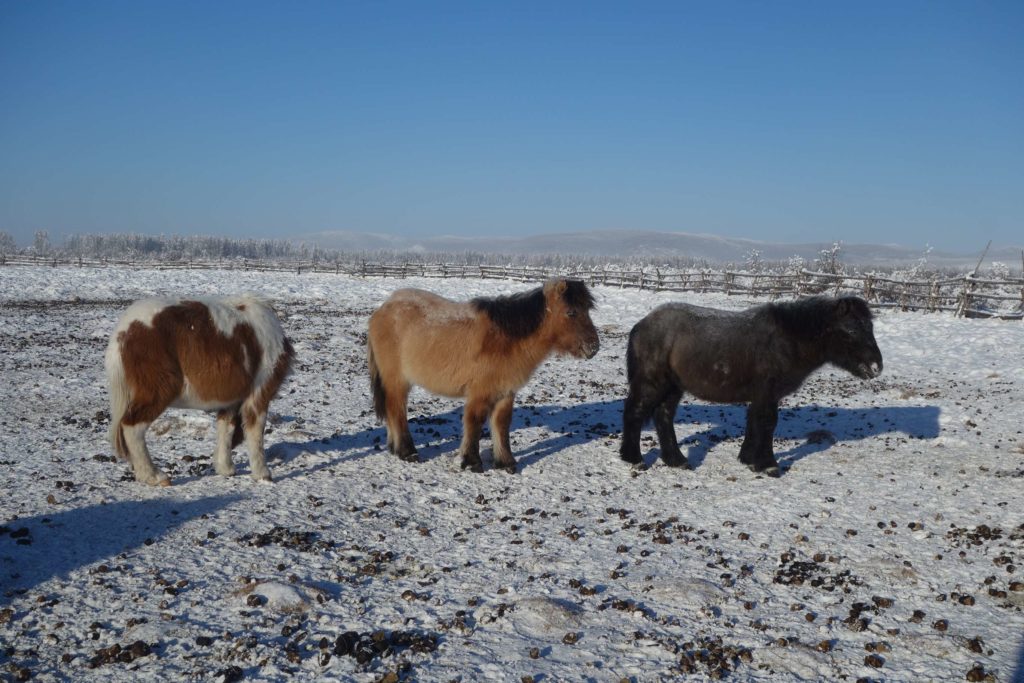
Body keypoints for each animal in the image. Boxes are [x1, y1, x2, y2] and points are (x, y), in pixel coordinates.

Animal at [104, 296, 294, 485]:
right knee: (132, 427)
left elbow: (226, 428)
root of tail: (123, 332)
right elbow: (256, 433)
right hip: (157, 392)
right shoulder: (259, 395)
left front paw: (225, 468)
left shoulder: (231, 400)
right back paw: (155, 476)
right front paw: (263, 474)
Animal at [366, 278, 598, 475]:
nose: (594, 347)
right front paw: (471, 462)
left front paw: (505, 462)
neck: (506, 340)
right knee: (396, 410)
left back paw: (395, 448)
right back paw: (407, 452)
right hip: (397, 380)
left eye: (587, 310)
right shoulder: (480, 393)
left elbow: (502, 424)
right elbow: (474, 422)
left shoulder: (505, 393)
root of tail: (383, 308)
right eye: (571, 312)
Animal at [618, 296, 884, 479]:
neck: (788, 341)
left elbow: (754, 422)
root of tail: (642, 325)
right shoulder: (767, 394)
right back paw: (634, 459)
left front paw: (748, 460)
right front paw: (769, 465)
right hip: (653, 383)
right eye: (851, 329)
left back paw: (676, 460)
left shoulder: (762, 396)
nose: (876, 367)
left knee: (663, 416)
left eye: (870, 327)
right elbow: (767, 423)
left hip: (673, 387)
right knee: (635, 413)